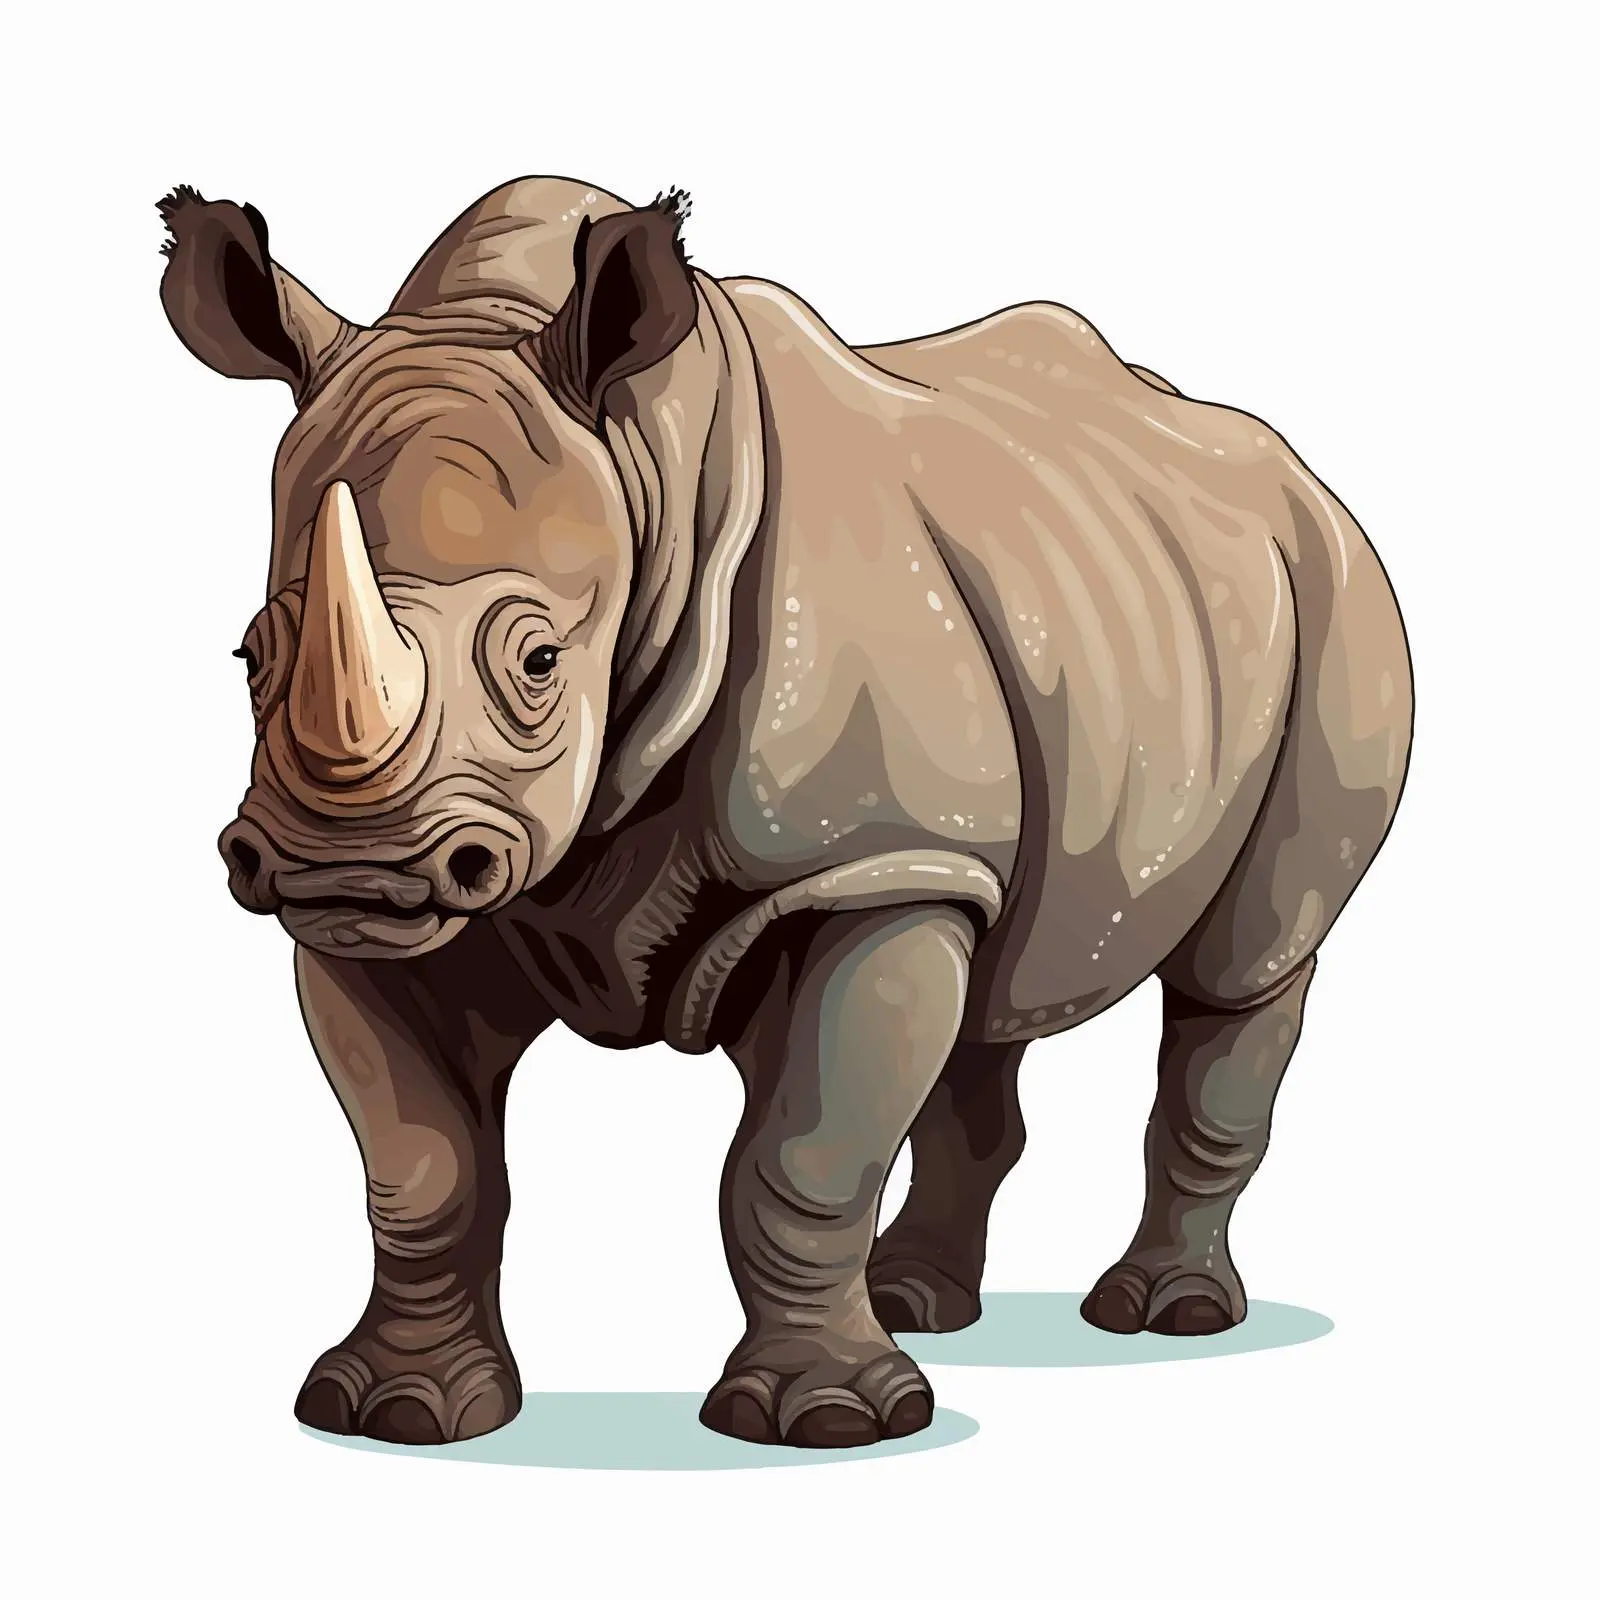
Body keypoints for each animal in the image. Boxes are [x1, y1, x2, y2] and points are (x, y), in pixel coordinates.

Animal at [157, 176, 1412, 1449]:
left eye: (542, 660)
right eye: (250, 656)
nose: (342, 868)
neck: (645, 473)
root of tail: (1296, 470)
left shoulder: (861, 862)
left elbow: (800, 1158)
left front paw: (828, 1419)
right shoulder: (421, 911)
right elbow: (424, 1169)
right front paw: (395, 1408)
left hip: (1333, 592)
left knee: (1241, 969)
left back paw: (1164, 1314)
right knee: (993, 981)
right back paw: (919, 1300)